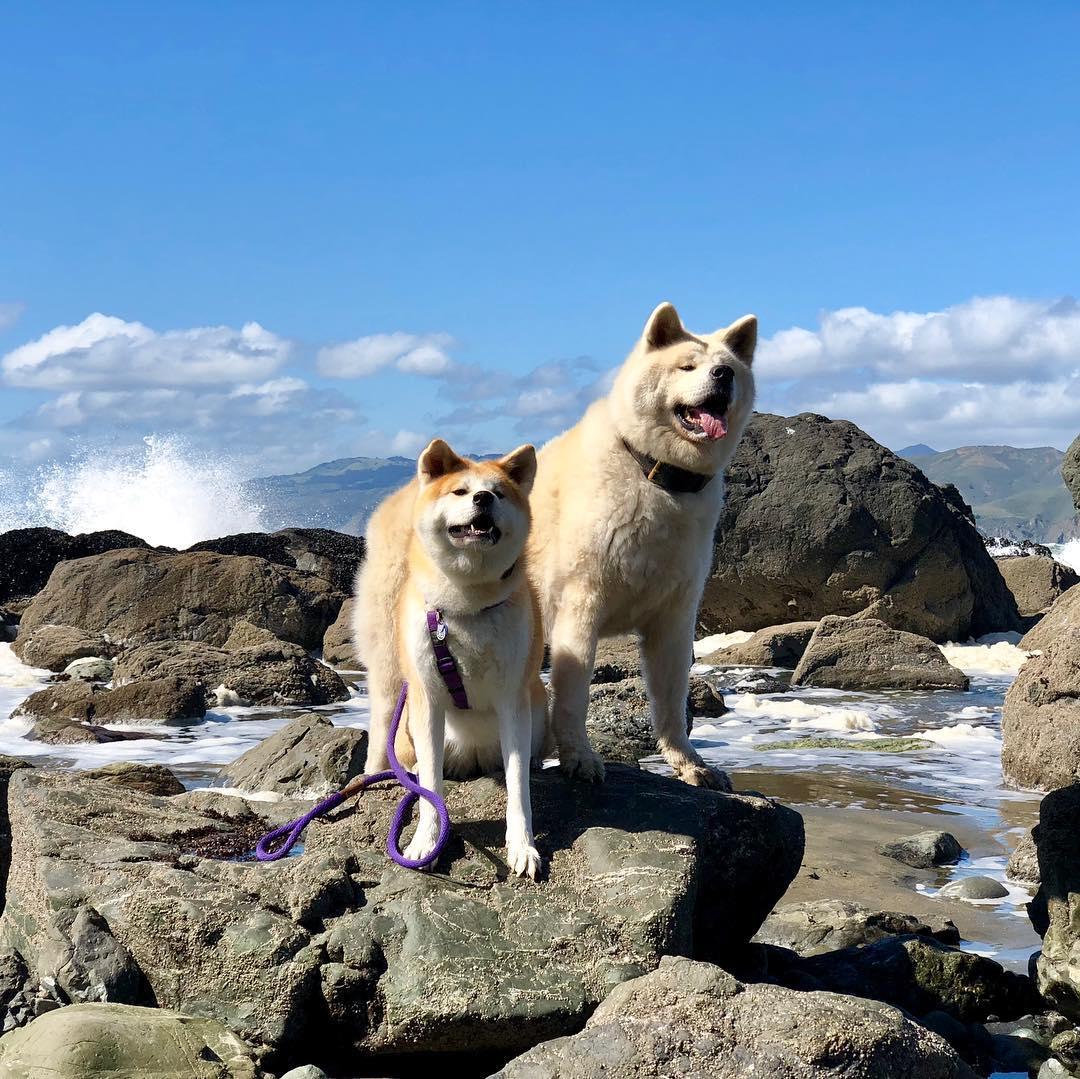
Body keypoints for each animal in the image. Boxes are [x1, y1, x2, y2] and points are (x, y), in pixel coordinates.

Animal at [353, 438, 548, 878]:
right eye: (460, 492)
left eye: (499, 493)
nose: (482, 498)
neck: (467, 605)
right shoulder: (427, 699)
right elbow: (430, 790)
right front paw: (427, 841)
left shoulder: (513, 699)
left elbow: (518, 790)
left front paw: (523, 846)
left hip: (538, 708)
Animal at [528, 301, 757, 787]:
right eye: (687, 366)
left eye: (727, 367)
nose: (722, 376)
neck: (657, 475)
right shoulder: (581, 601)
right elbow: (574, 694)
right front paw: (580, 758)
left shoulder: (674, 615)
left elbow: (671, 698)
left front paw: (691, 764)